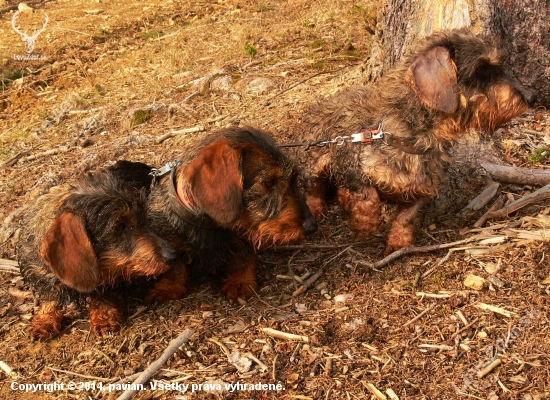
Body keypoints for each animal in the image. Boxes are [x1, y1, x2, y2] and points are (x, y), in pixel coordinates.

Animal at [17, 161, 177, 340]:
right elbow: (49, 298)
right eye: (120, 226)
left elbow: (103, 293)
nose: (172, 255)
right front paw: (44, 320)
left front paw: (104, 318)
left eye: (143, 217)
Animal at [146, 126, 320, 302]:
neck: (211, 226)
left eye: (294, 179)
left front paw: (239, 282)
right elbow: (175, 262)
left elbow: (243, 257)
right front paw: (168, 286)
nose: (312, 226)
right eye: (269, 182)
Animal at [294, 28, 540, 253]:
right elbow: (369, 199)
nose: (532, 97)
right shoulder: (353, 166)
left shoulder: (424, 190)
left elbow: (407, 218)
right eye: (481, 70)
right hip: (313, 165)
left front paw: (399, 243)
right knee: (314, 192)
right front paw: (365, 227)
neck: (413, 139)